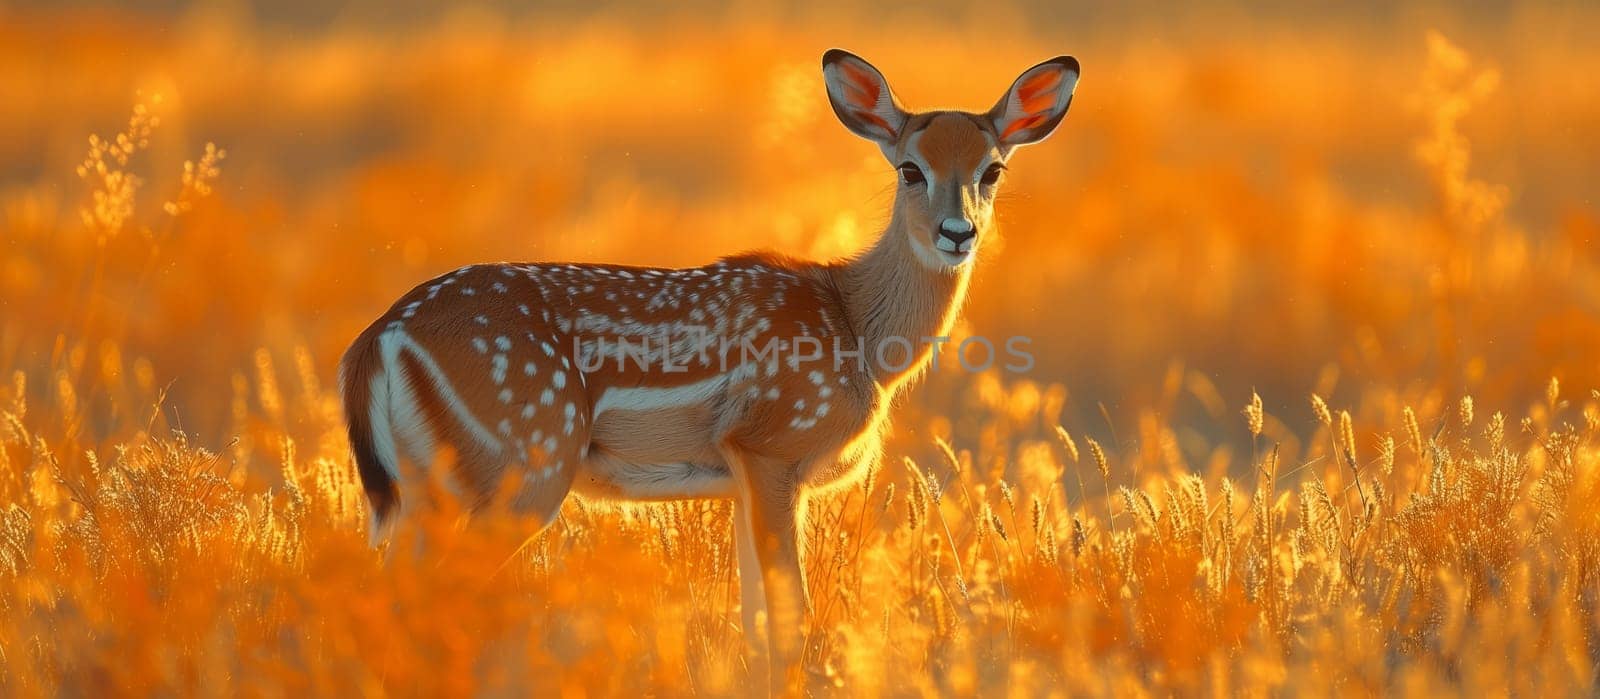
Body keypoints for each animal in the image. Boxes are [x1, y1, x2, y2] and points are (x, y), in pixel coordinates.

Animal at [342, 48, 1081, 687]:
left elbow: (754, 619)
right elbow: (790, 619)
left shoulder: (741, 478)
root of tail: (377, 340)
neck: (858, 331)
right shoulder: (771, 445)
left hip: (426, 486)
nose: (958, 233)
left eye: (993, 170)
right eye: (910, 169)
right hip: (522, 461)